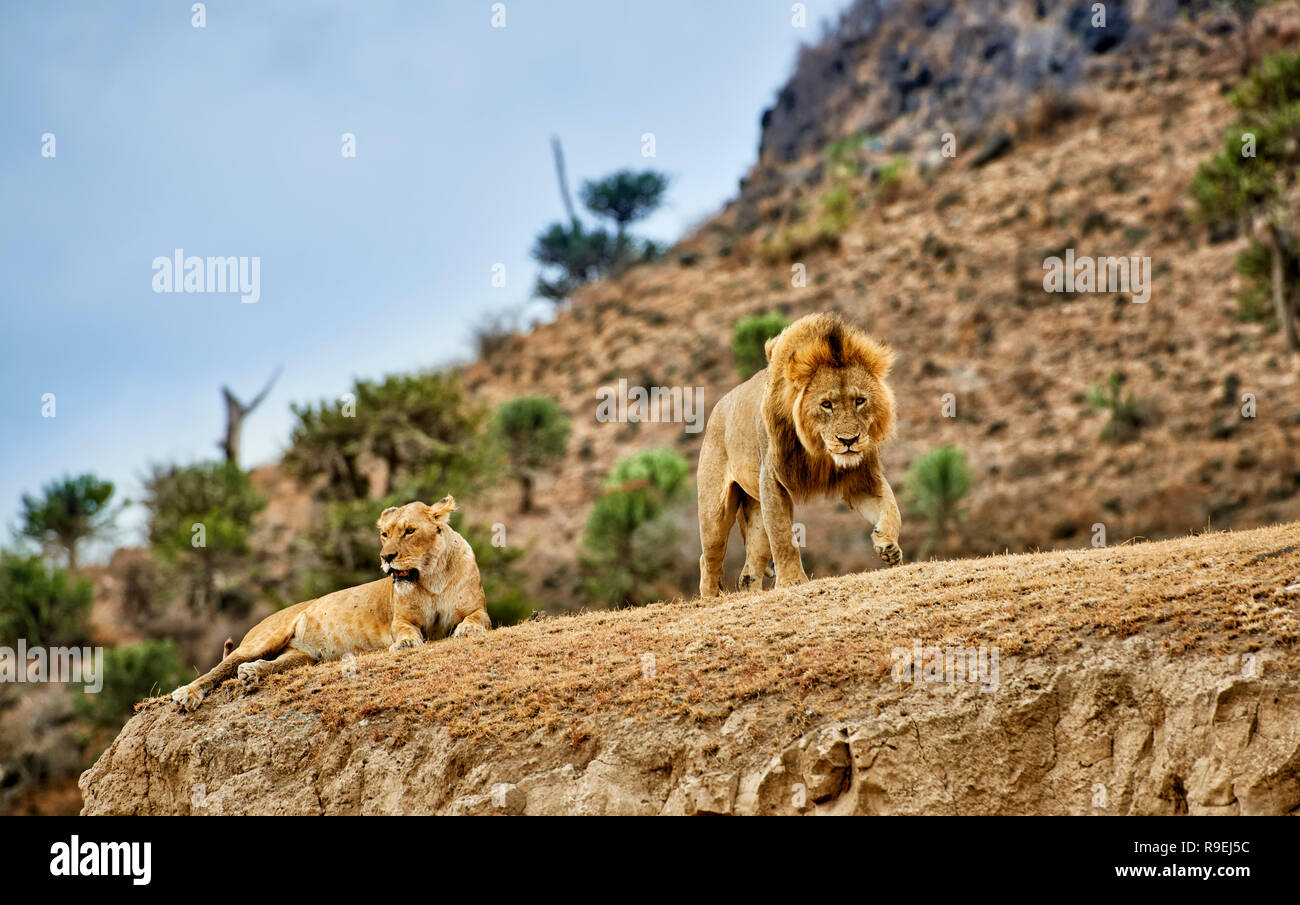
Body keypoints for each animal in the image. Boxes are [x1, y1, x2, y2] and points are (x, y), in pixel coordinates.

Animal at [170, 496, 490, 711]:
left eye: (409, 531)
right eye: (384, 534)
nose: (386, 557)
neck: (430, 577)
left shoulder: (479, 609)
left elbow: (476, 620)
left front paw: (467, 631)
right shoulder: (400, 620)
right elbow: (406, 631)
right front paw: (407, 644)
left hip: (302, 655)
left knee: (273, 664)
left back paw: (252, 673)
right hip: (264, 638)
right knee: (220, 669)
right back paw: (188, 694)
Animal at [697, 312, 902, 596]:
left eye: (860, 401)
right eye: (826, 405)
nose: (848, 440)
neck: (819, 450)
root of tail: (718, 407)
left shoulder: (861, 478)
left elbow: (891, 507)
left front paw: (888, 544)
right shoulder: (772, 479)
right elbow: (783, 536)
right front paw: (792, 581)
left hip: (756, 510)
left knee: (749, 570)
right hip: (715, 510)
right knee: (710, 556)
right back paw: (711, 597)